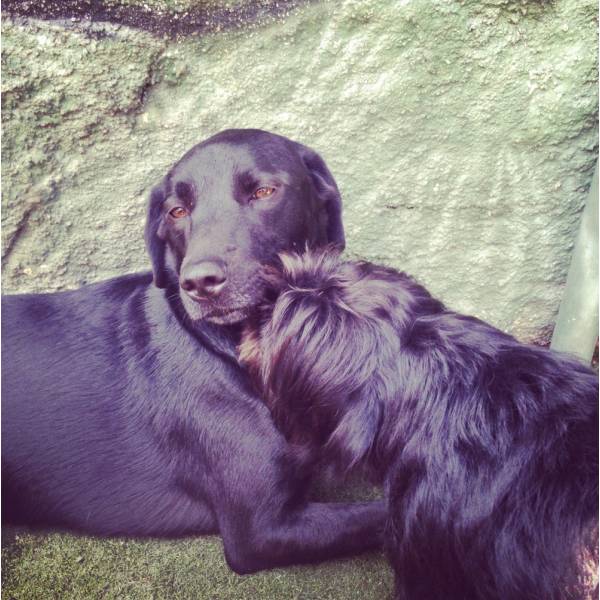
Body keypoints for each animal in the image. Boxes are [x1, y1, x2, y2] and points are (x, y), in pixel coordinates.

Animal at [1, 129, 384, 576]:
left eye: (263, 191)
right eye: (177, 211)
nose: (199, 283)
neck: (225, 348)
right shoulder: (262, 529)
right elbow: (384, 515)